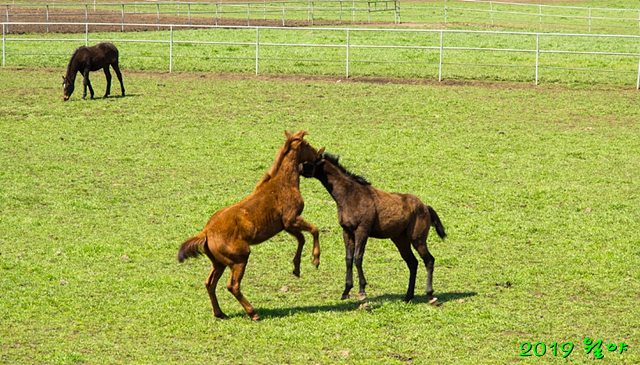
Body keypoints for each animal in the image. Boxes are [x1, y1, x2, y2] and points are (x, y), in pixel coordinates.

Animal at [178, 130, 324, 318]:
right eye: (306, 144)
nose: (318, 156)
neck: (283, 183)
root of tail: (206, 232)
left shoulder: (286, 226)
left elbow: (302, 239)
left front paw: (296, 268)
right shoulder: (291, 219)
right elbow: (314, 230)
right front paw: (315, 260)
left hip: (219, 263)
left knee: (210, 283)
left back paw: (220, 313)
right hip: (239, 258)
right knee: (232, 285)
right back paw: (253, 313)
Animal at [302, 153, 448, 302]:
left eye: (309, 160)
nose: (298, 167)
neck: (351, 195)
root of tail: (425, 207)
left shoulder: (362, 230)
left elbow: (358, 257)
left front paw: (362, 291)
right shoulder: (347, 231)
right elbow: (348, 259)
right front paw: (346, 291)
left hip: (418, 239)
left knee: (429, 260)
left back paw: (430, 294)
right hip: (400, 240)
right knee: (413, 263)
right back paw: (408, 296)